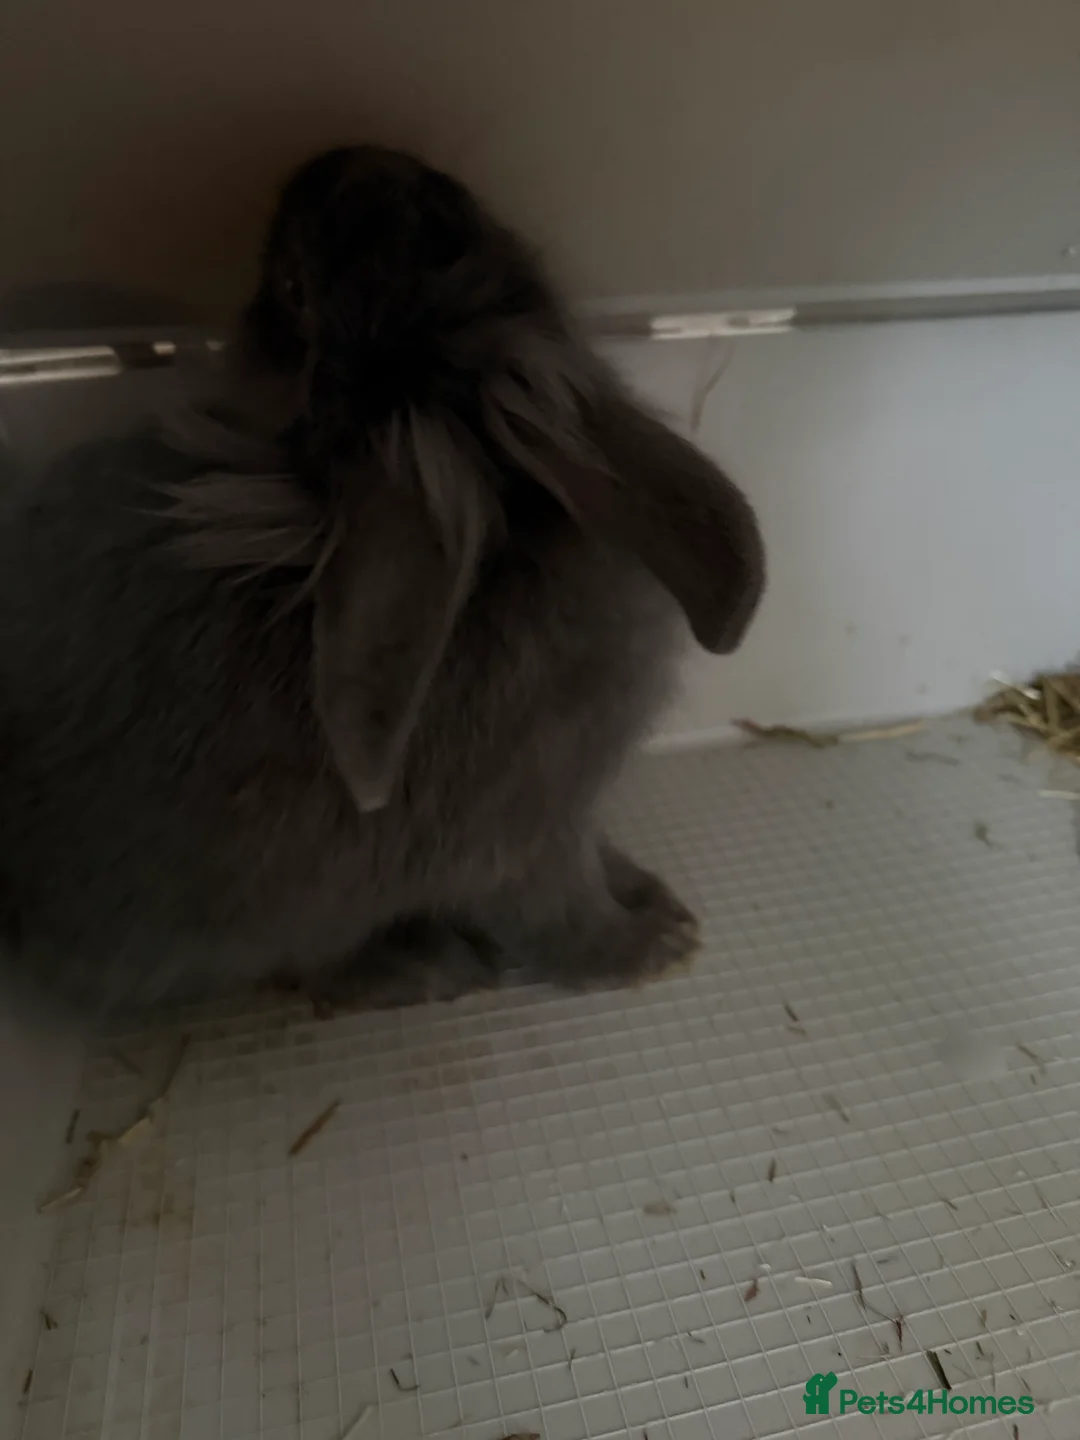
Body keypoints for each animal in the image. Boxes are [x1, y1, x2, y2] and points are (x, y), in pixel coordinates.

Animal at [0, 146, 765, 1018]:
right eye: (295, 287)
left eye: (452, 231)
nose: (342, 158)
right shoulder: (525, 842)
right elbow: (560, 914)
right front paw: (653, 950)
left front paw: (654, 906)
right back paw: (423, 966)